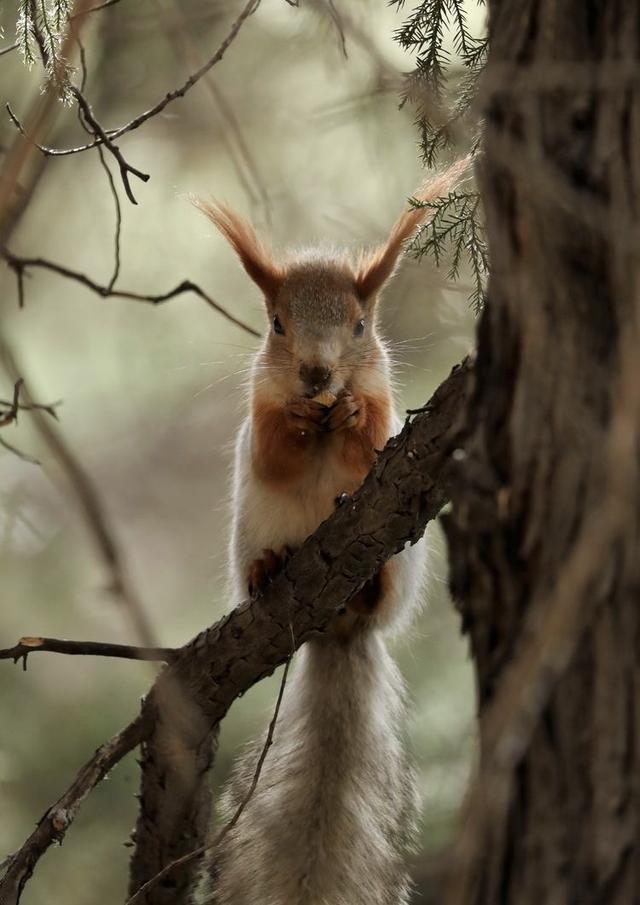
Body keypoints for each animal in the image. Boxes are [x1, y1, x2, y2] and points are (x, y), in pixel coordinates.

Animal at [198, 157, 468, 904]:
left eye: (360, 325)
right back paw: (268, 568)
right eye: (276, 324)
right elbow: (274, 451)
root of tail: (337, 628)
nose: (318, 374)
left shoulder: (385, 406)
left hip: (399, 576)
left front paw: (348, 416)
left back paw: (368, 585)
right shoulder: (259, 416)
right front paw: (296, 423)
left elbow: (371, 439)